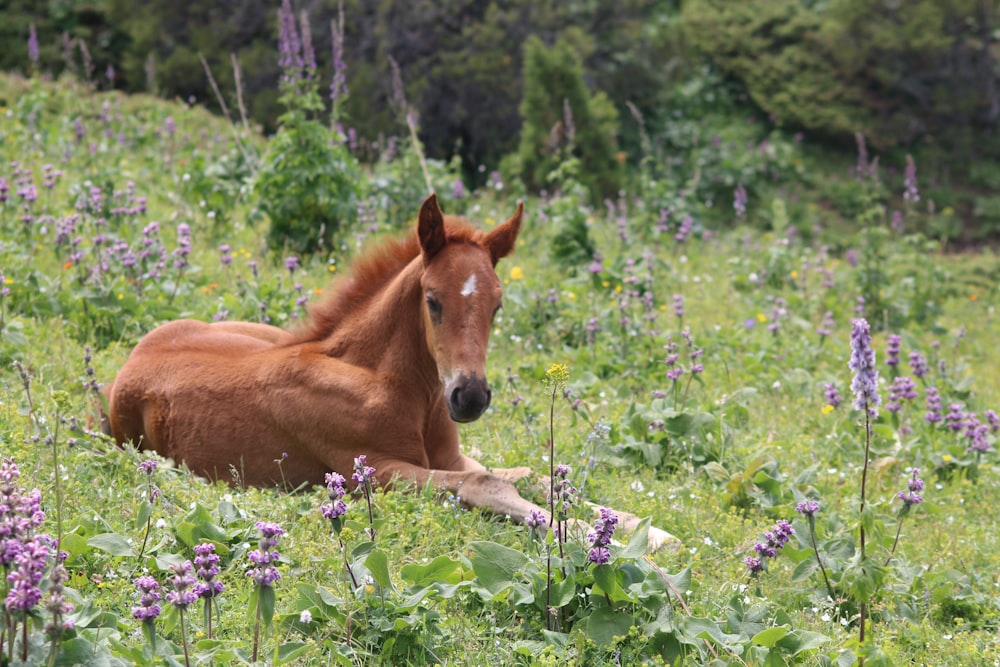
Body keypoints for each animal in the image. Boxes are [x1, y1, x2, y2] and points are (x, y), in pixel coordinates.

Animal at [103, 196, 680, 552]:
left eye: (497, 306)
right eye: (433, 300)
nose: (470, 396)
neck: (402, 389)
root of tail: (137, 353)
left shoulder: (449, 456)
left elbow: (530, 475)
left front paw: (645, 531)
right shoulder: (376, 472)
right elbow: (489, 483)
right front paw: (585, 534)